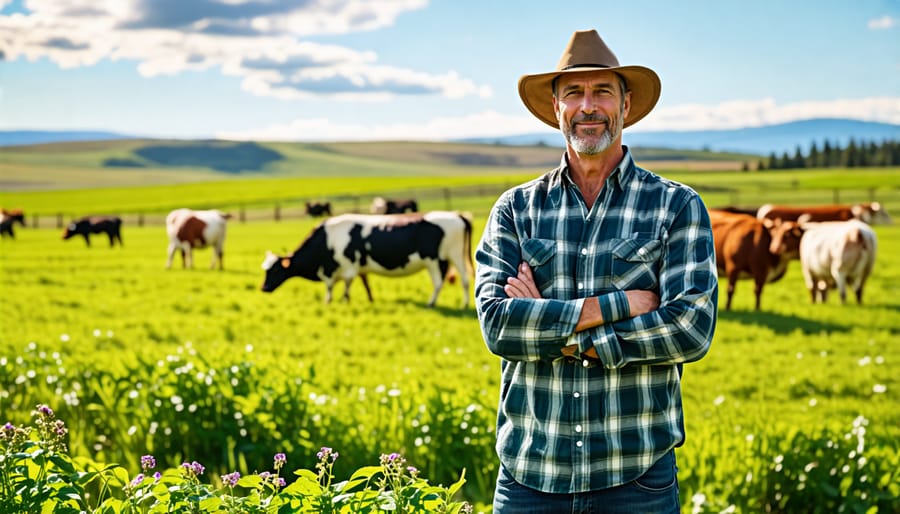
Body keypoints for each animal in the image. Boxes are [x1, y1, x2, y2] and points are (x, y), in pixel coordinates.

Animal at [258, 210, 474, 306]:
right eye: (265, 269)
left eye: (275, 269)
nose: (264, 288)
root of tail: (457, 215)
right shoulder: (357, 267)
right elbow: (364, 284)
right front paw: (368, 299)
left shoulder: (345, 266)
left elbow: (338, 285)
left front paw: (335, 300)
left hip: (445, 257)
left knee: (451, 281)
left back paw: (440, 303)